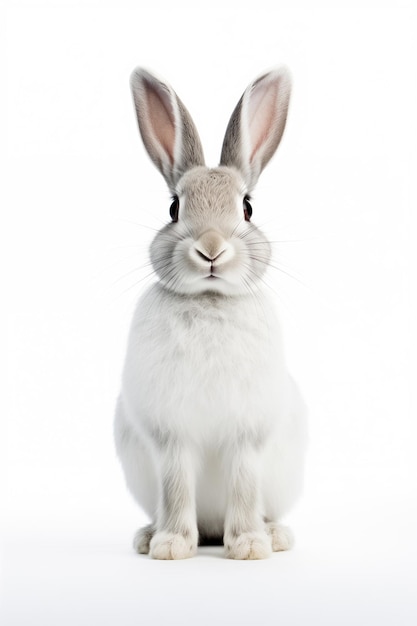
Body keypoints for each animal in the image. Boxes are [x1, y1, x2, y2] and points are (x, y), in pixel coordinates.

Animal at [113, 66, 306, 560]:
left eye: (248, 207)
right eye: (173, 208)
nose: (212, 249)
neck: (210, 299)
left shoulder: (246, 436)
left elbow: (244, 484)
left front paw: (251, 547)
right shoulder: (171, 437)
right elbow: (177, 486)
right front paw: (171, 547)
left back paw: (274, 535)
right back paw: (148, 536)